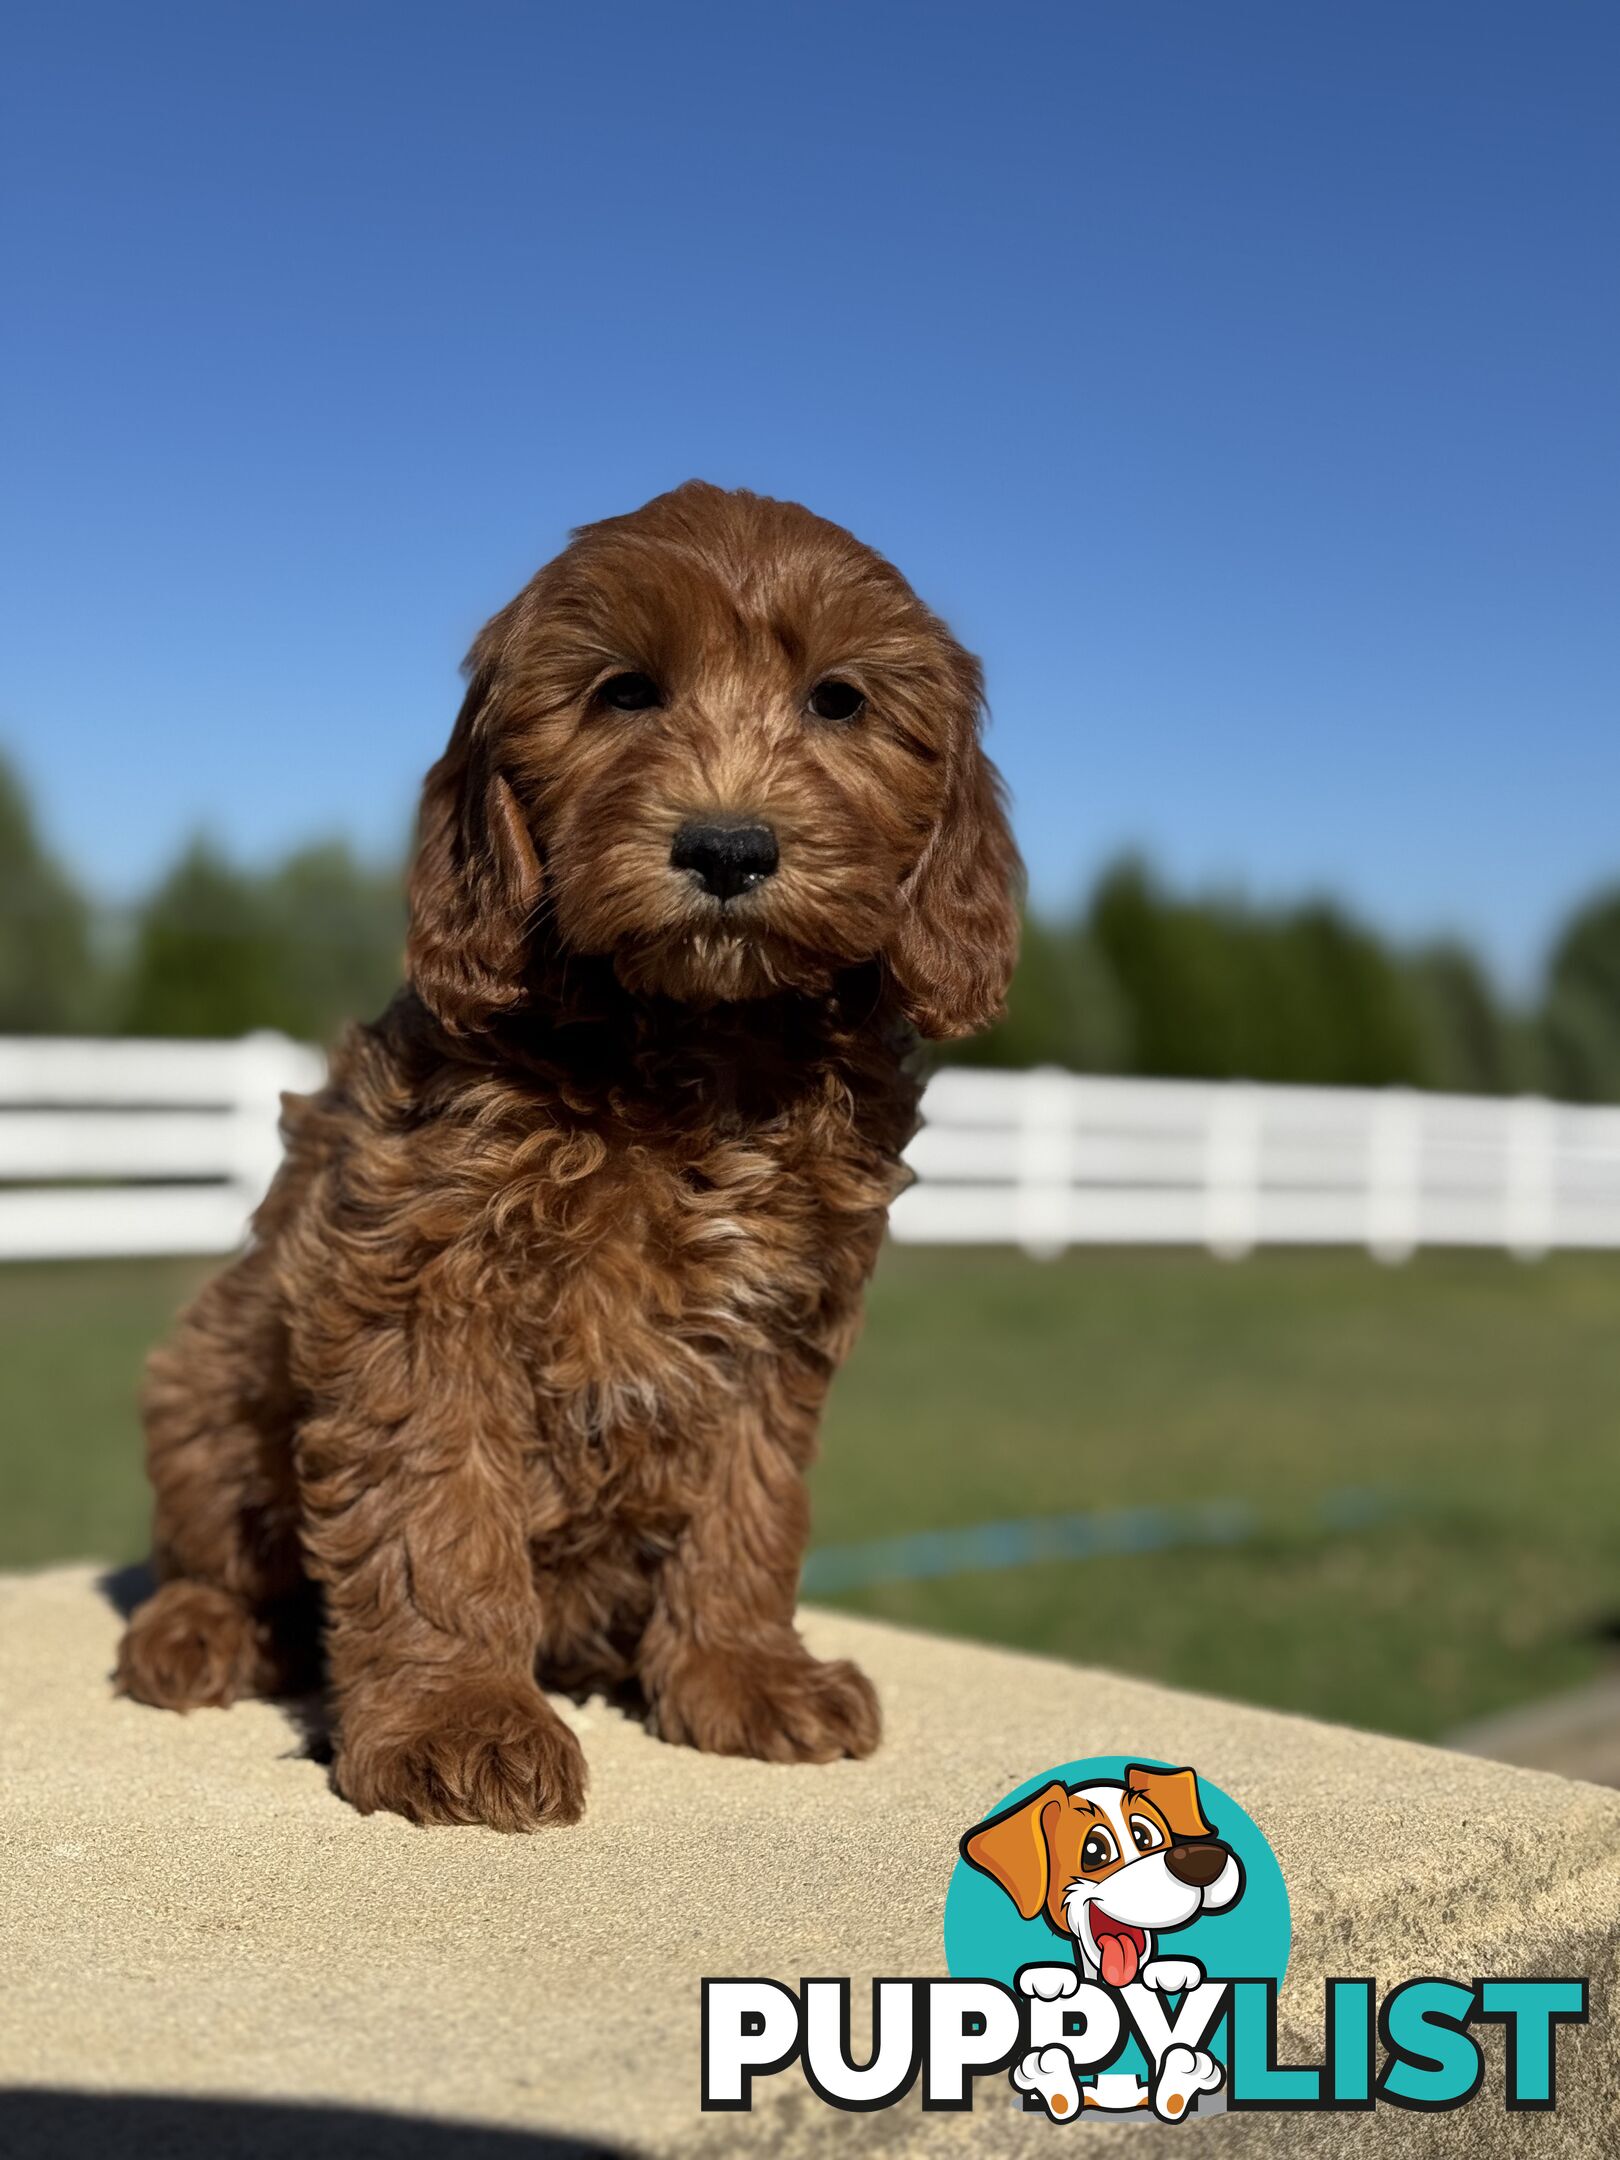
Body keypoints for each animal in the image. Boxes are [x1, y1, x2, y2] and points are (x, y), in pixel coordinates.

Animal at [117, 486, 1028, 1823]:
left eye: (839, 700)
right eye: (625, 693)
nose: (728, 848)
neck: (696, 1037)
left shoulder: (781, 1315)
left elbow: (750, 1499)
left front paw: (742, 1675)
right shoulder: (422, 1277)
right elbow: (435, 1507)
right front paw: (457, 1720)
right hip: (207, 1375)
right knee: (214, 1551)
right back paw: (202, 1632)